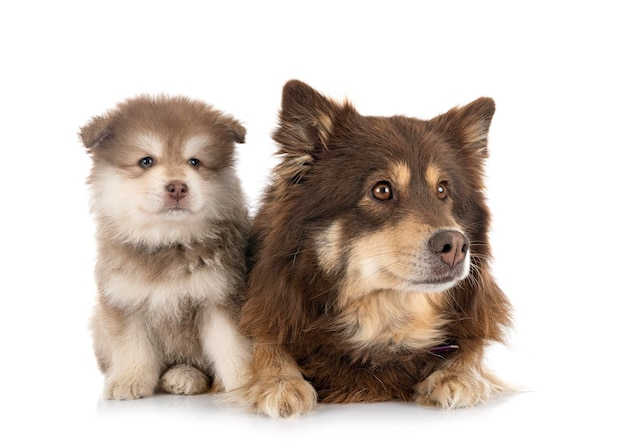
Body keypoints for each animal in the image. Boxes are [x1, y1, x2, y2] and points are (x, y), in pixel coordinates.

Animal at [80, 95, 251, 400]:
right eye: (146, 161)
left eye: (195, 162)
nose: (177, 187)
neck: (167, 241)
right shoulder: (124, 300)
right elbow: (132, 346)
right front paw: (128, 380)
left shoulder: (221, 296)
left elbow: (233, 346)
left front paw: (246, 384)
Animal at [239, 79, 512, 416]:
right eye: (381, 190)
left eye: (442, 190)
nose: (456, 245)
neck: (386, 321)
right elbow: (265, 343)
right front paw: (279, 382)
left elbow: (471, 351)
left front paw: (458, 377)